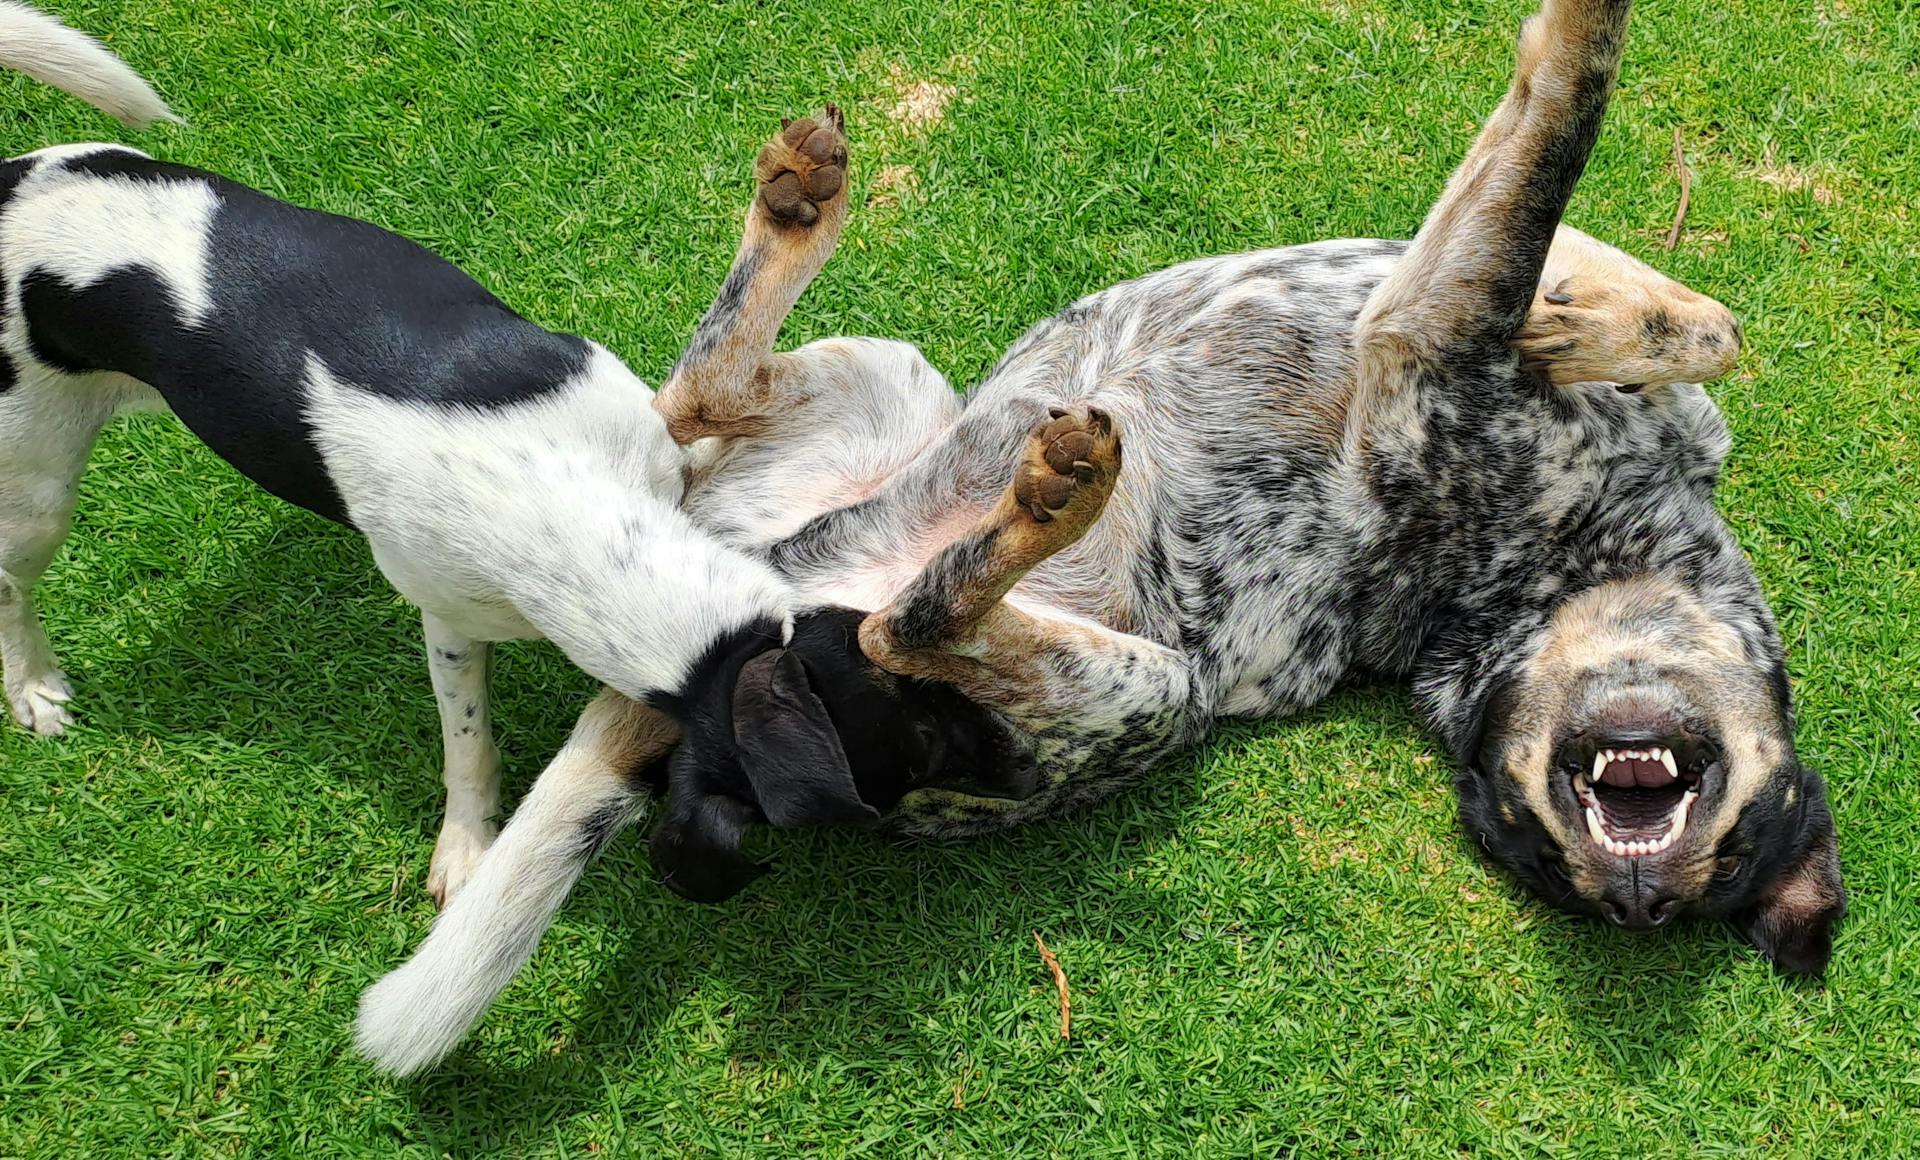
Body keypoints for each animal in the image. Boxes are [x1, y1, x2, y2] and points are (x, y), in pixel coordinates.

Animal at [360, 0, 1843, 1075]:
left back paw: (1044, 493)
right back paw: (799, 207)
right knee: (700, 397)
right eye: (1555, 856)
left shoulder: (1429, 343)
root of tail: (697, 666)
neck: (1580, 557)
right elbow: (1665, 285)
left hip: (1133, 688)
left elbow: (1559, 128)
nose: (1634, 892)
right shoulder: (1489, 329)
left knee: (909, 615)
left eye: (1718, 872)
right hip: (887, 388)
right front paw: (1595, 307)